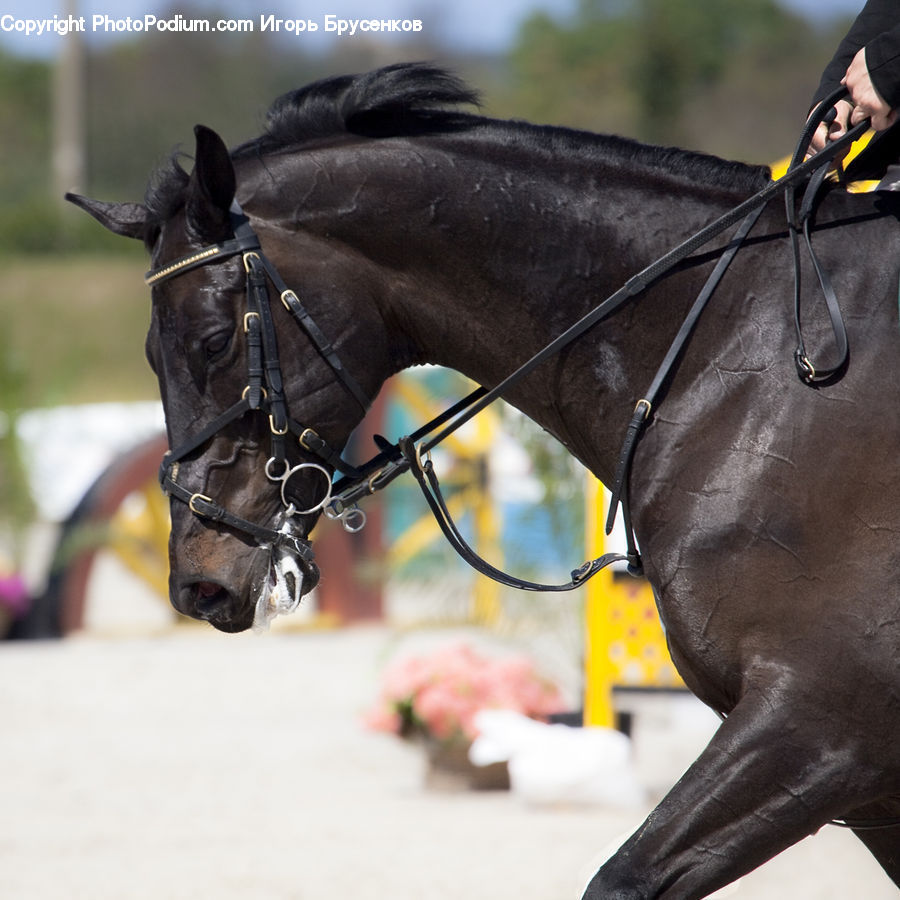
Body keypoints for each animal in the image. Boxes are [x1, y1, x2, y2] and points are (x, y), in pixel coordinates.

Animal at [68, 65, 900, 900]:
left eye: (213, 341)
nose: (198, 586)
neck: (739, 355)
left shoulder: (820, 724)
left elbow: (621, 879)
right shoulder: (856, 773)